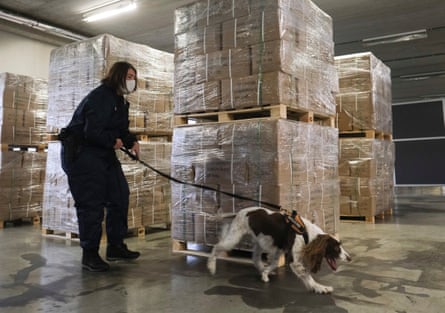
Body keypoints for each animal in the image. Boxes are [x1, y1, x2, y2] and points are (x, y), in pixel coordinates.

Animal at [207, 207, 350, 292]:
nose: (349, 258)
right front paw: (320, 288)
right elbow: (307, 276)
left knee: (255, 258)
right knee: (216, 247)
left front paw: (265, 273)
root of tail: (240, 212)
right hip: (233, 238)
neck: (306, 233)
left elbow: (274, 263)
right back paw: (211, 266)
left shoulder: (279, 250)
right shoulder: (294, 260)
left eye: (340, 245)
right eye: (336, 248)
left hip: (261, 241)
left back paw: (262, 270)